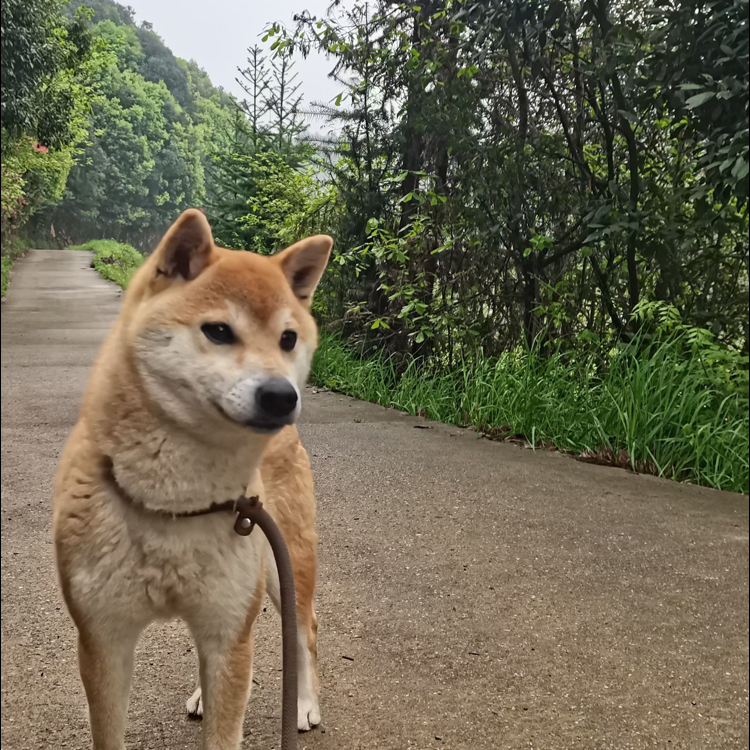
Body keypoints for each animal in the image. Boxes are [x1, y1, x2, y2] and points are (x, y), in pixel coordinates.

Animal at [53, 209, 332, 748]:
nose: (281, 396)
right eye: (218, 331)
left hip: (288, 562)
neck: (174, 503)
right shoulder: (103, 639)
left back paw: (305, 703)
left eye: (288, 339)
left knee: (304, 628)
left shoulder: (228, 633)